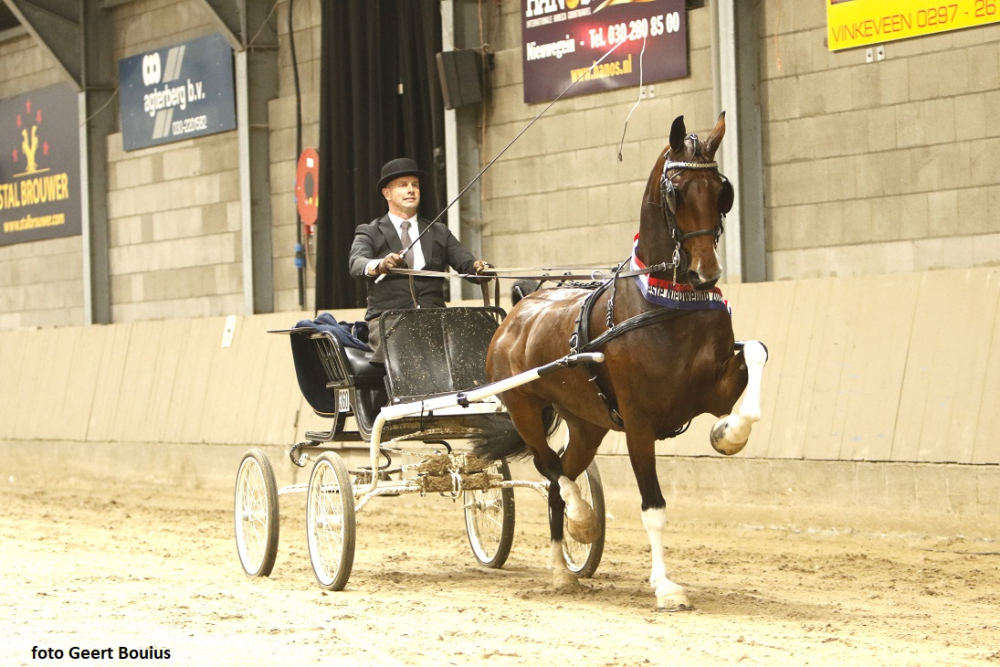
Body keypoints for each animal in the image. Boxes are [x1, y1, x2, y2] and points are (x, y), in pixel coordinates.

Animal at [476, 112, 768, 611]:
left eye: (721, 190)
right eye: (676, 191)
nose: (706, 273)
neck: (665, 304)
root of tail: (516, 312)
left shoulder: (713, 389)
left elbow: (755, 356)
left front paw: (727, 434)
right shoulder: (638, 423)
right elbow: (653, 508)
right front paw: (666, 586)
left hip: (587, 425)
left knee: (560, 475)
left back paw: (565, 563)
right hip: (525, 410)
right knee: (550, 471)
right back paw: (579, 526)